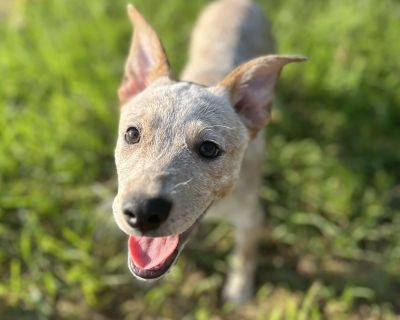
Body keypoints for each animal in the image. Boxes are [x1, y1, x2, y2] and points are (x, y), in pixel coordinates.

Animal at [111, 0, 304, 304]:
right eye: (132, 134)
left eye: (209, 149)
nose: (142, 212)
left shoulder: (252, 216)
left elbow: (244, 255)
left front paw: (238, 291)